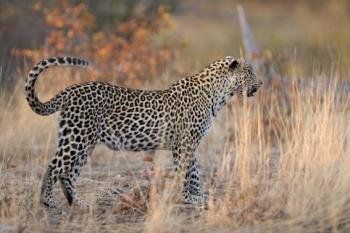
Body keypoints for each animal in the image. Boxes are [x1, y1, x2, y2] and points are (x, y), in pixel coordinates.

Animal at [25, 56, 262, 208]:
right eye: (249, 72)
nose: (260, 83)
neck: (219, 95)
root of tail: (69, 90)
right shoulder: (184, 144)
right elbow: (185, 173)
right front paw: (187, 198)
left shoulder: (189, 145)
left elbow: (194, 173)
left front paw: (199, 196)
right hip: (76, 138)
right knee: (54, 167)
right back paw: (48, 202)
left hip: (84, 142)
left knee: (69, 173)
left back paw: (79, 203)